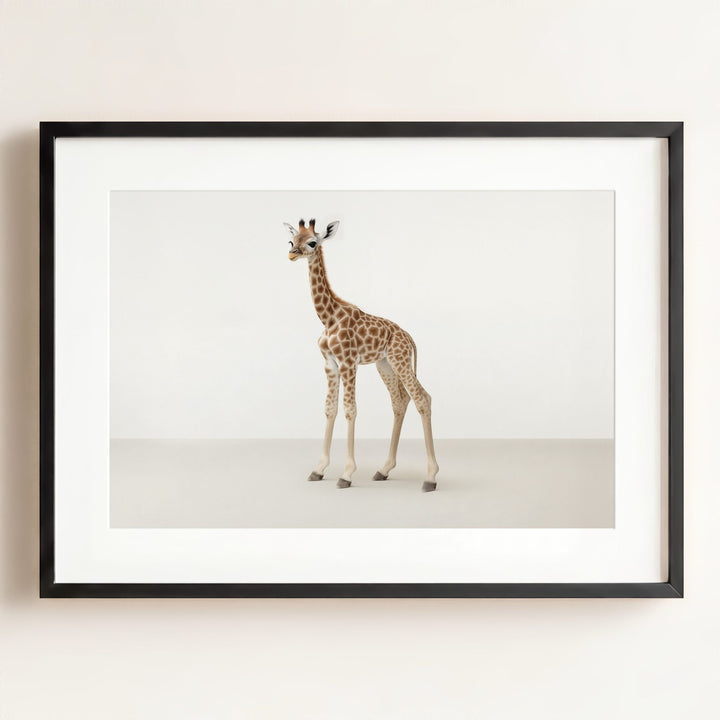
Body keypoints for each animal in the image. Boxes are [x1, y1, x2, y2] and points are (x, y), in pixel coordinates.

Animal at [285, 218, 439, 492]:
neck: (328, 317)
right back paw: (383, 469)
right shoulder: (330, 364)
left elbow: (350, 409)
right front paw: (319, 469)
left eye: (312, 242)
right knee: (400, 401)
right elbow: (330, 408)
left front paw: (346, 474)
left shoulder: (349, 362)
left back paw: (430, 478)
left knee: (422, 398)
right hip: (385, 364)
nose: (292, 254)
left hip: (400, 360)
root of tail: (409, 337)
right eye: (291, 240)